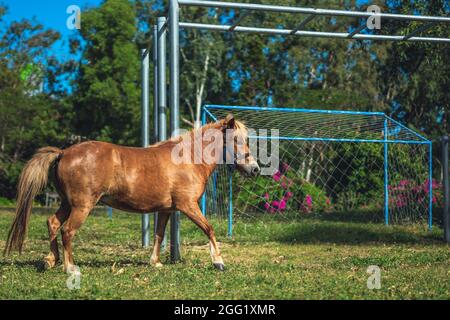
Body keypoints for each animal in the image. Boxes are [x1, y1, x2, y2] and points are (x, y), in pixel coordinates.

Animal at [4, 115, 260, 272]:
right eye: (237, 139)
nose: (255, 168)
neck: (187, 159)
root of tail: (63, 153)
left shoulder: (166, 210)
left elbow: (158, 235)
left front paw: (155, 262)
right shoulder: (188, 205)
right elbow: (209, 228)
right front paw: (218, 261)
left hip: (68, 203)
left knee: (53, 223)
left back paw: (51, 260)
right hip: (82, 206)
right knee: (67, 231)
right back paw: (69, 267)